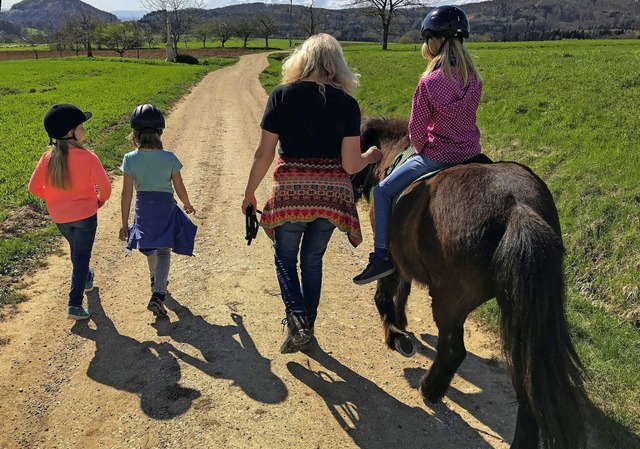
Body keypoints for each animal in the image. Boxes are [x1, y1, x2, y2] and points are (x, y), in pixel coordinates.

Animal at [352, 116, 588, 448]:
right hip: (519, 313)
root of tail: (519, 209)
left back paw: (430, 389)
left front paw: (396, 335)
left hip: (450, 301)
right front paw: (401, 325)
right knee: (527, 381)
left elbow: (387, 292)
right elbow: (403, 290)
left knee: (453, 351)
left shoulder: (392, 255)